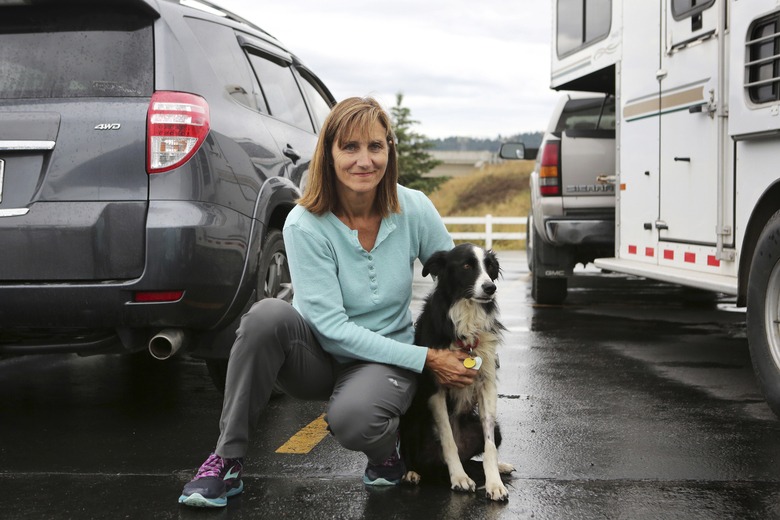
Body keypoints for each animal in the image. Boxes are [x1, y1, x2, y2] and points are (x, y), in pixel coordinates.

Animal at [400, 244, 516, 500]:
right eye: (466, 266)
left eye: (489, 267)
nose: (490, 288)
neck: (467, 311)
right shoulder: (436, 390)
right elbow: (448, 439)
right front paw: (460, 478)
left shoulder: (487, 384)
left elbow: (489, 444)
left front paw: (494, 483)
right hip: (411, 419)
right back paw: (411, 472)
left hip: (494, 429)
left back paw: (501, 467)